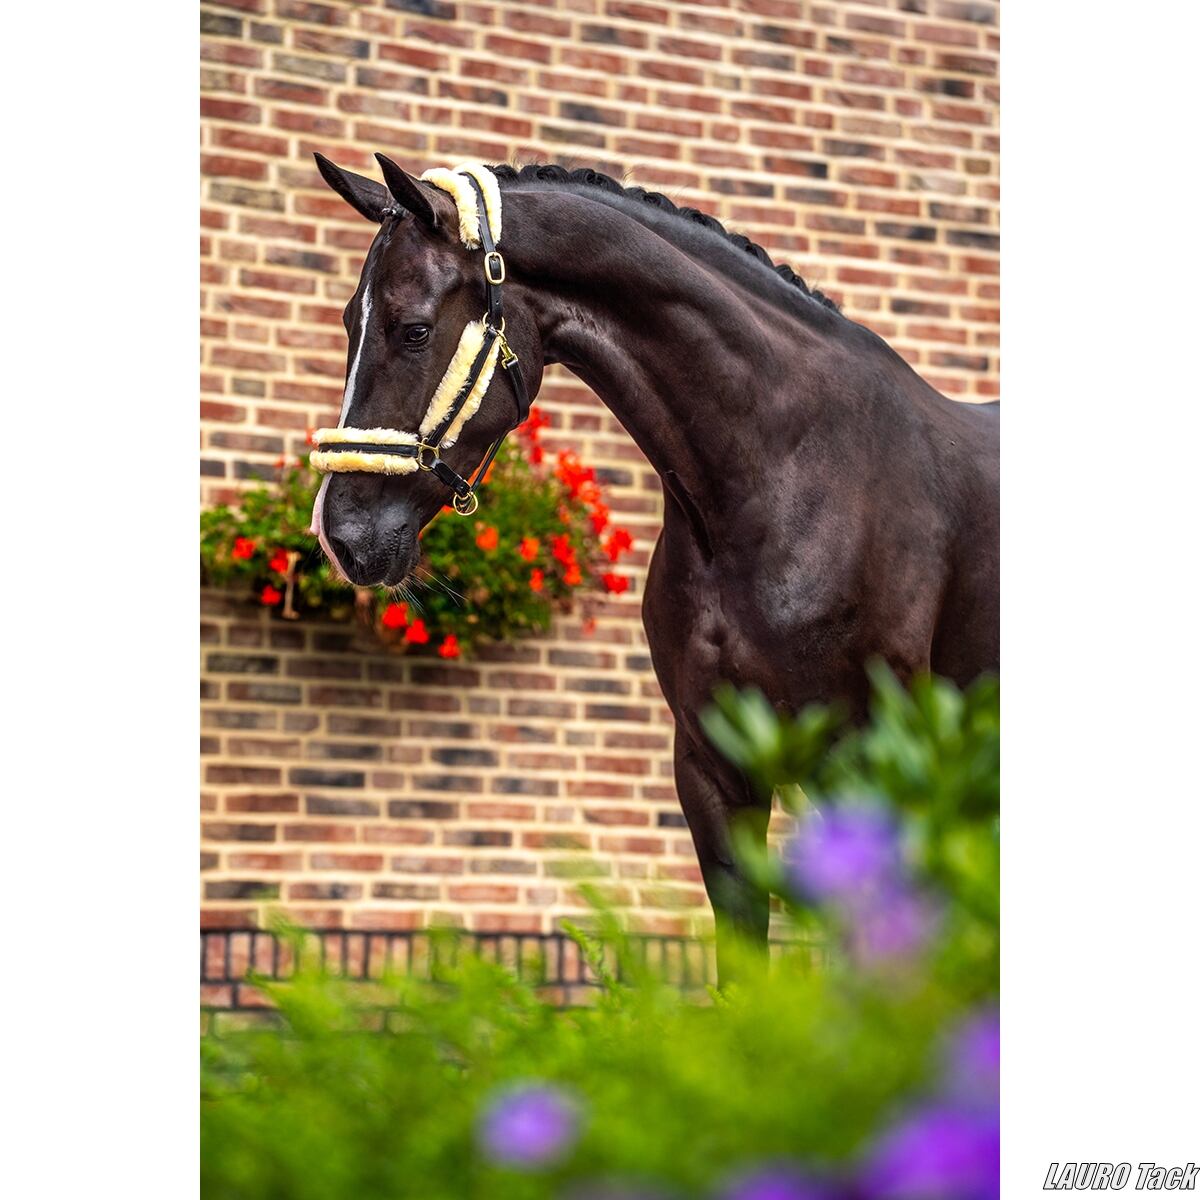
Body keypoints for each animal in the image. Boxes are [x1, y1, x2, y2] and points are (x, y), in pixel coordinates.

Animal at [306, 155, 1000, 980]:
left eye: (412, 329)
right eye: (350, 323)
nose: (341, 535)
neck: (787, 474)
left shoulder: (864, 763)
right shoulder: (712, 765)